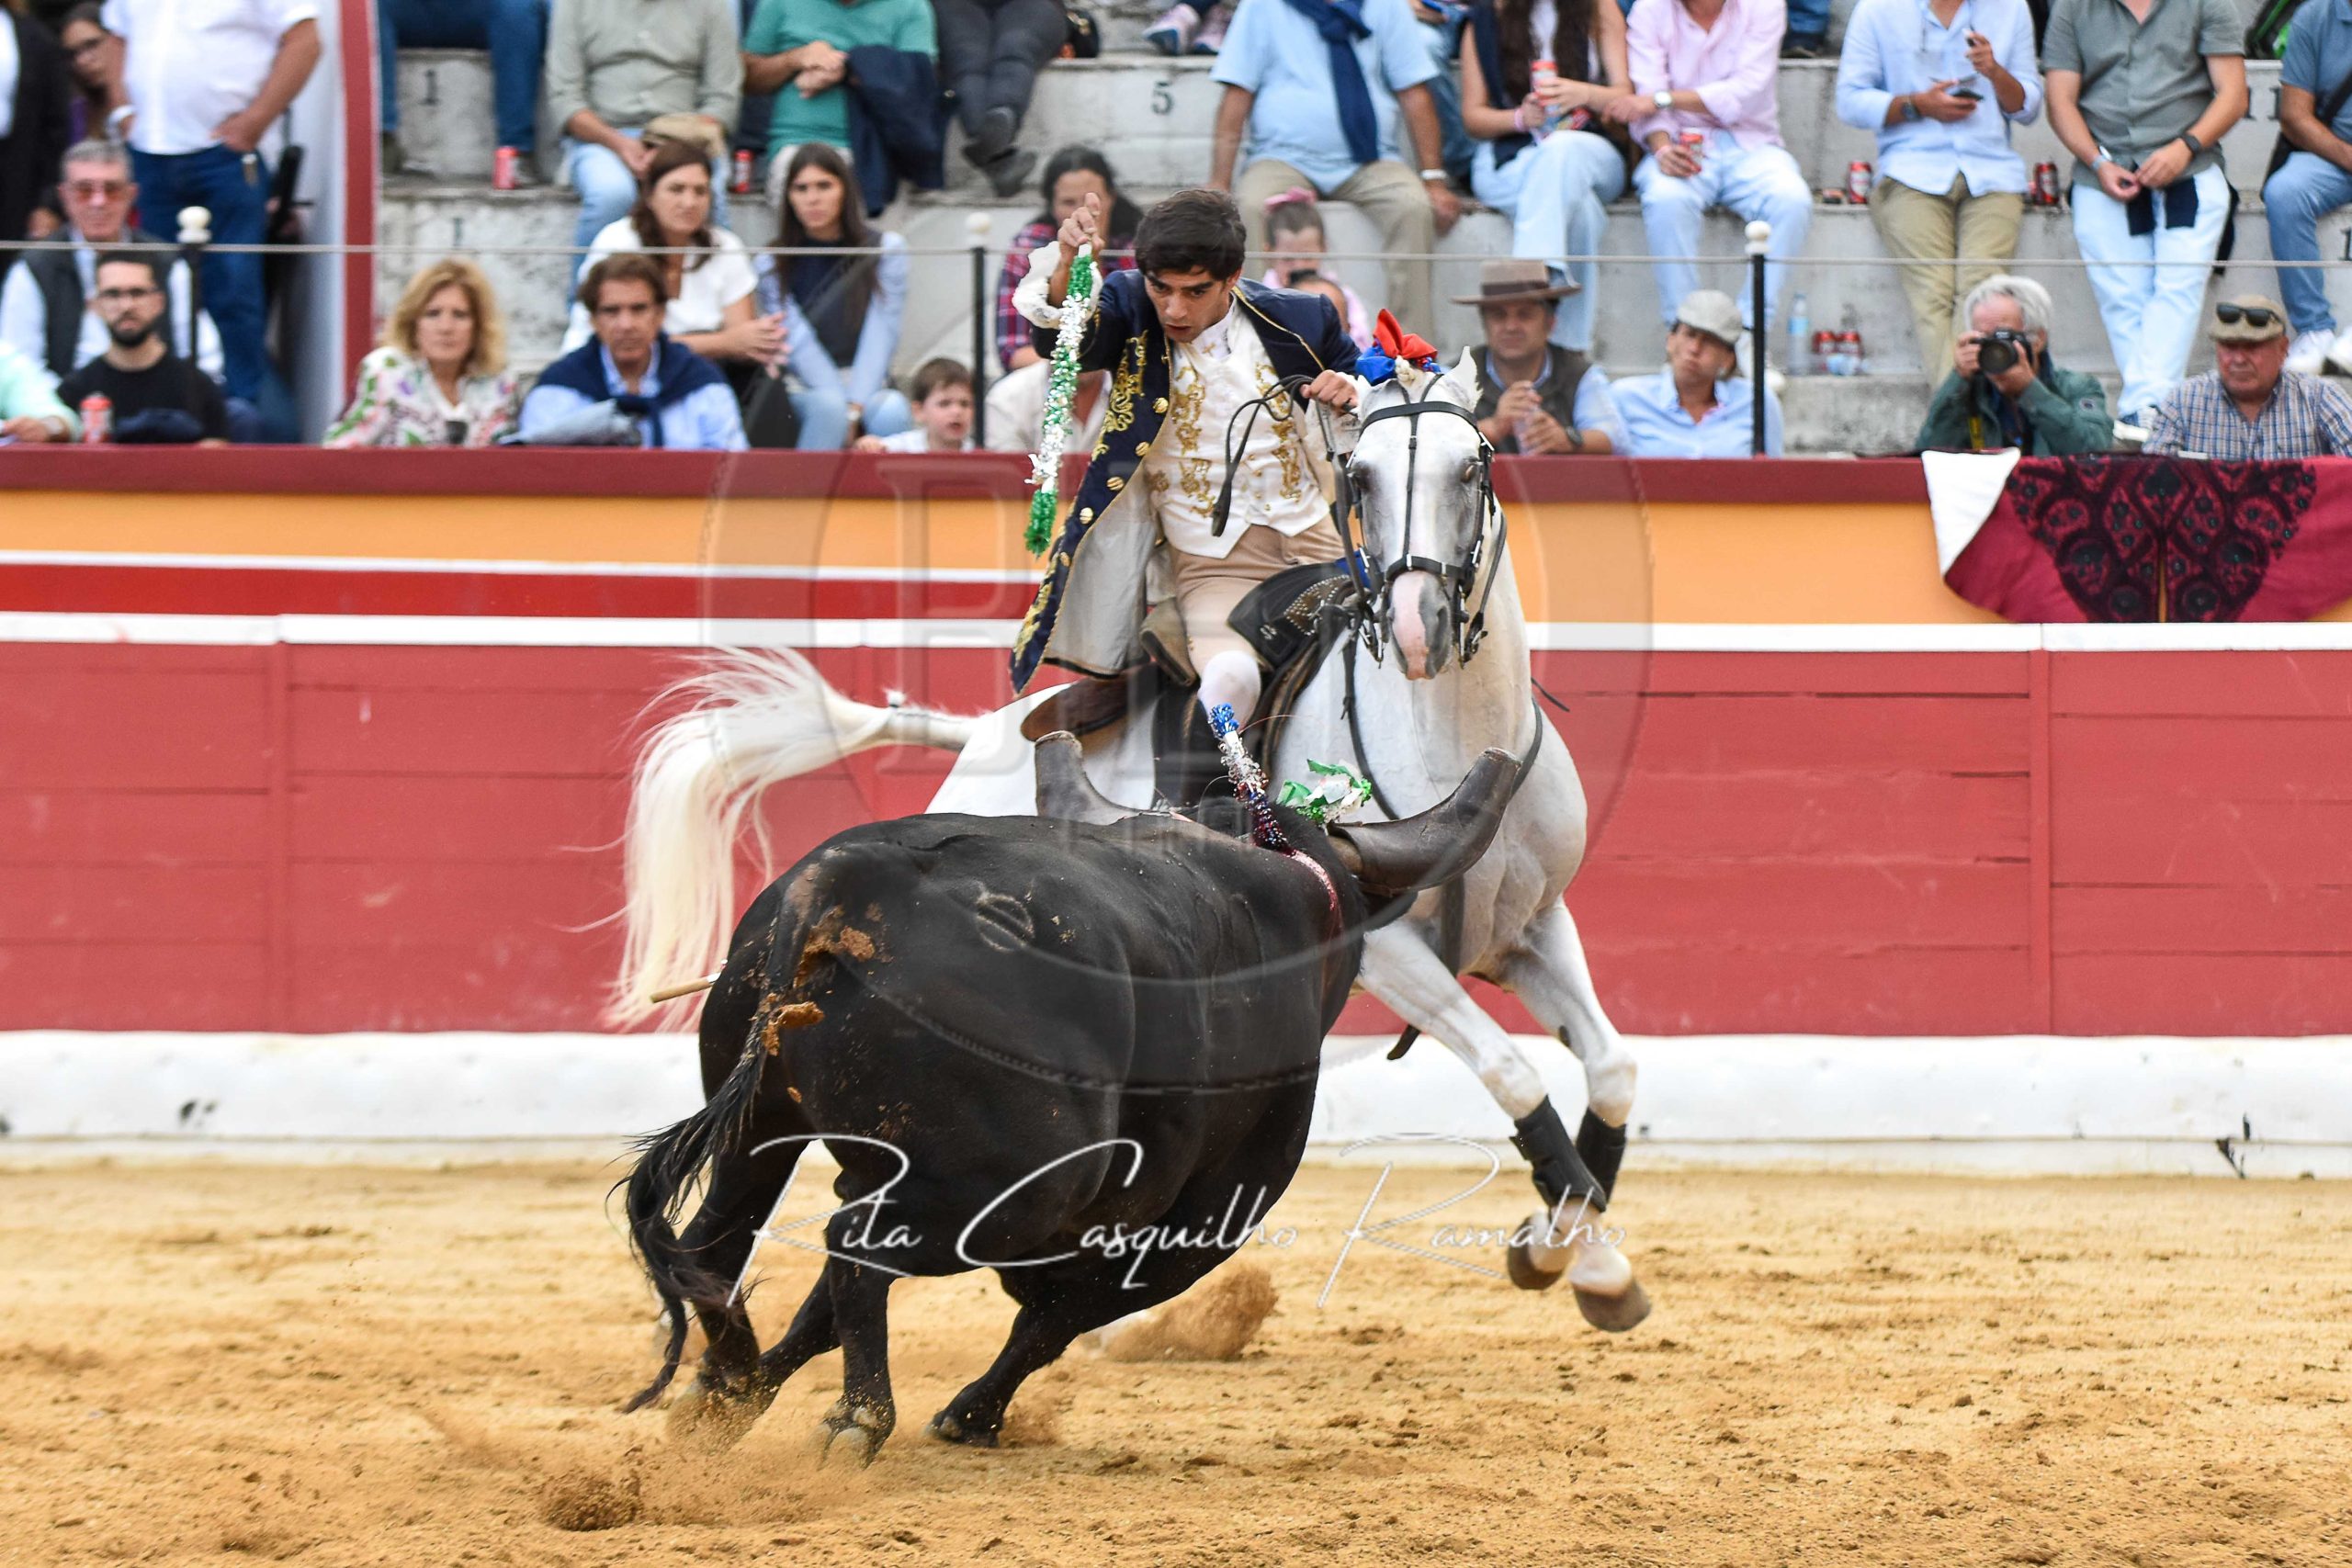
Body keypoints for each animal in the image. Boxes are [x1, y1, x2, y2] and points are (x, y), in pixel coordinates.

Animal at [611, 350, 1649, 1330]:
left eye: (1471, 466)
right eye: (1361, 477)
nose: (1415, 626)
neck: (1452, 732)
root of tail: (989, 736)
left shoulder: (1532, 926)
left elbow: (1611, 1069)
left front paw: (1577, 1255)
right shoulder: (1388, 945)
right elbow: (1513, 1068)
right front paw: (1570, 1256)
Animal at [622, 734, 1518, 1463]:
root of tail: (846, 882)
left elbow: (820, 1313)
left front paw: (737, 1398)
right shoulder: (1206, 1220)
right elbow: (1053, 1318)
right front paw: (970, 1416)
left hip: (760, 1128)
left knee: (716, 1244)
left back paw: (729, 1381)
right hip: (1019, 1186)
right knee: (854, 1241)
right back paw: (857, 1420)